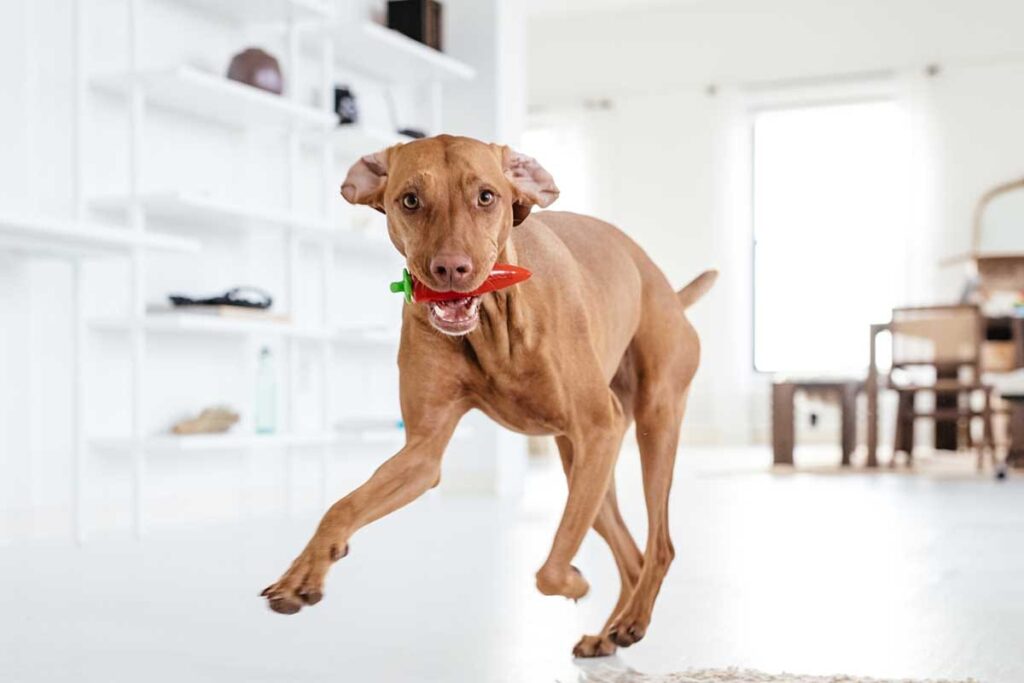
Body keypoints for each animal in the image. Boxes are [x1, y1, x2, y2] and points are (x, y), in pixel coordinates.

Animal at [260, 135, 716, 655]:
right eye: (410, 200)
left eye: (485, 196)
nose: (450, 269)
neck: (494, 321)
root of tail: (667, 289)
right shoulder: (423, 453)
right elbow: (342, 505)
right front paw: (300, 575)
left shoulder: (598, 426)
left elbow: (549, 570)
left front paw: (575, 582)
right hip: (582, 463)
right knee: (631, 553)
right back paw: (610, 631)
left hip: (650, 426)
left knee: (660, 545)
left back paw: (633, 620)